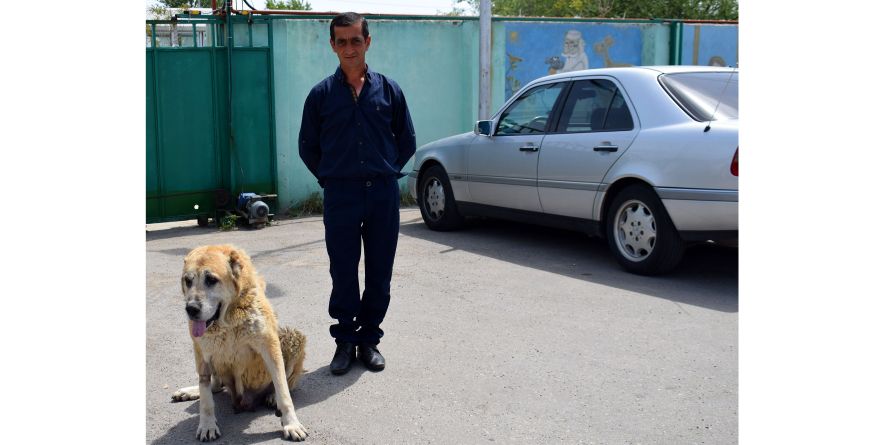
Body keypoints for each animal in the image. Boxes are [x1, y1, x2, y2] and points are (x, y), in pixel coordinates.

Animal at [170, 245, 308, 442]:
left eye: (211, 280)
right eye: (188, 281)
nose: (191, 309)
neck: (227, 320)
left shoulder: (270, 346)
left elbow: (283, 390)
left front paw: (291, 423)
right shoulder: (202, 354)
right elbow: (205, 397)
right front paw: (207, 424)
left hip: (293, 337)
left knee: (286, 382)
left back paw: (271, 396)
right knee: (214, 386)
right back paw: (190, 391)